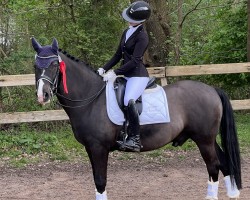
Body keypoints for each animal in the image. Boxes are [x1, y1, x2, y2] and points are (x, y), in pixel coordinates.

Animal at [31, 38, 240, 200]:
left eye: (54, 65)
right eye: (35, 66)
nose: (43, 95)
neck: (91, 98)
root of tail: (212, 89)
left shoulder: (99, 148)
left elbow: (100, 180)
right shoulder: (90, 148)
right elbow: (97, 180)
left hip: (204, 140)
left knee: (213, 167)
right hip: (208, 139)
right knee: (224, 163)